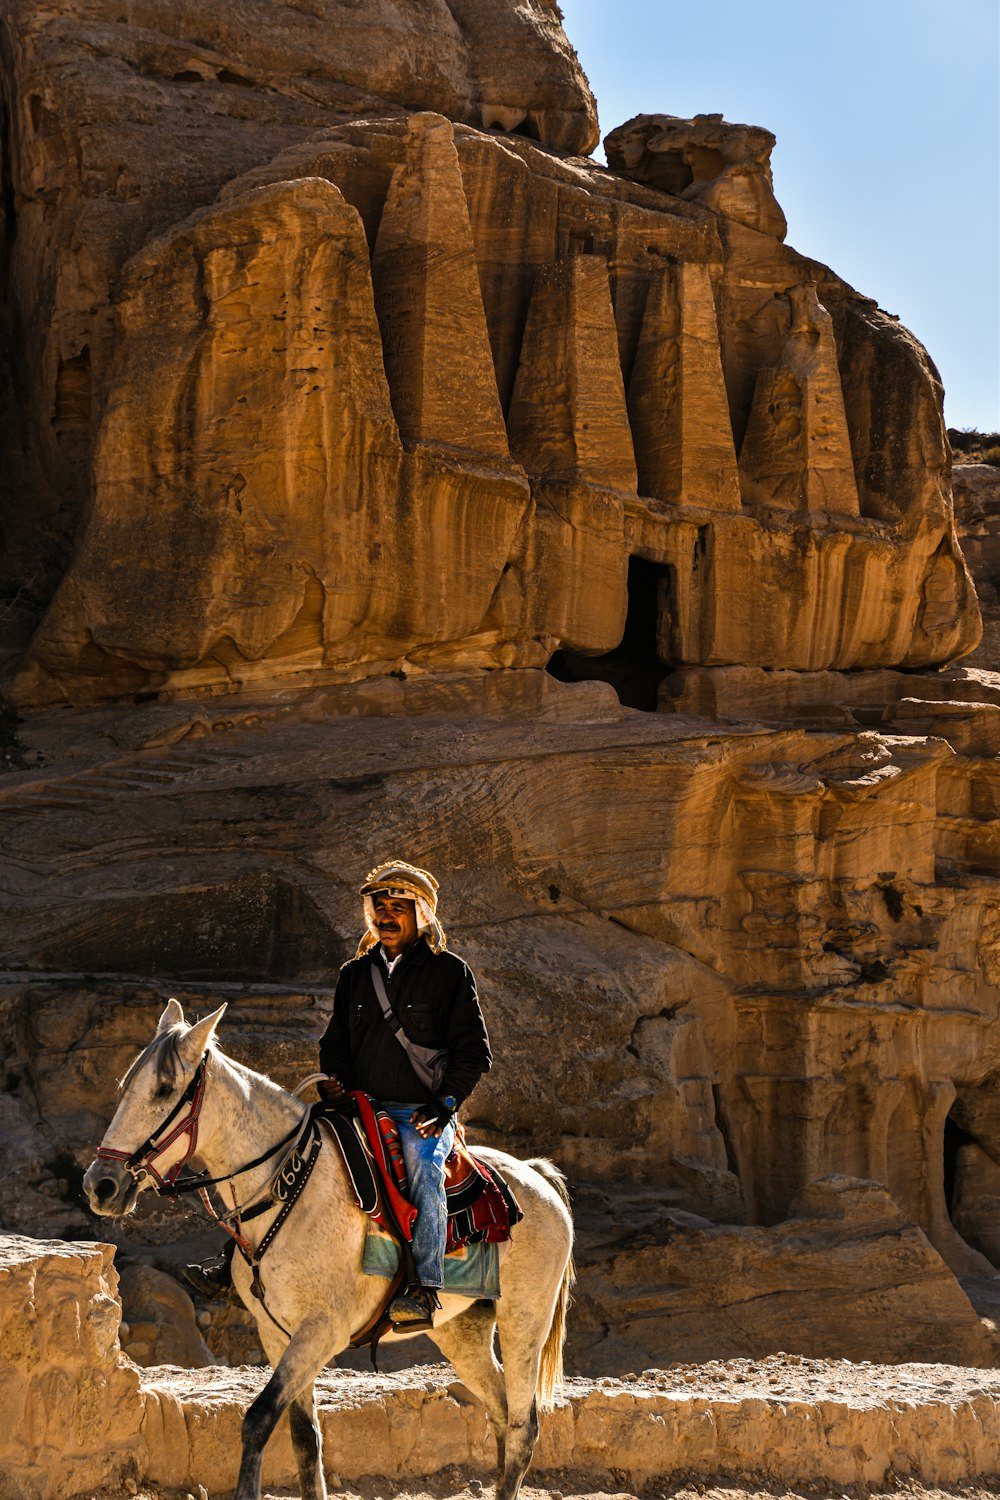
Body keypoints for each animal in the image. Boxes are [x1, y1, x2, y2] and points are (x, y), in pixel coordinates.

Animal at [82, 1002, 575, 1500]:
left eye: (164, 1089)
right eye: (126, 1086)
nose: (100, 1184)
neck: (288, 1186)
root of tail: (535, 1174)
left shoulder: (323, 1330)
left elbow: (259, 1419)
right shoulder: (276, 1332)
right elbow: (304, 1437)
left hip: (524, 1321)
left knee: (523, 1426)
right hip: (463, 1331)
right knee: (500, 1414)